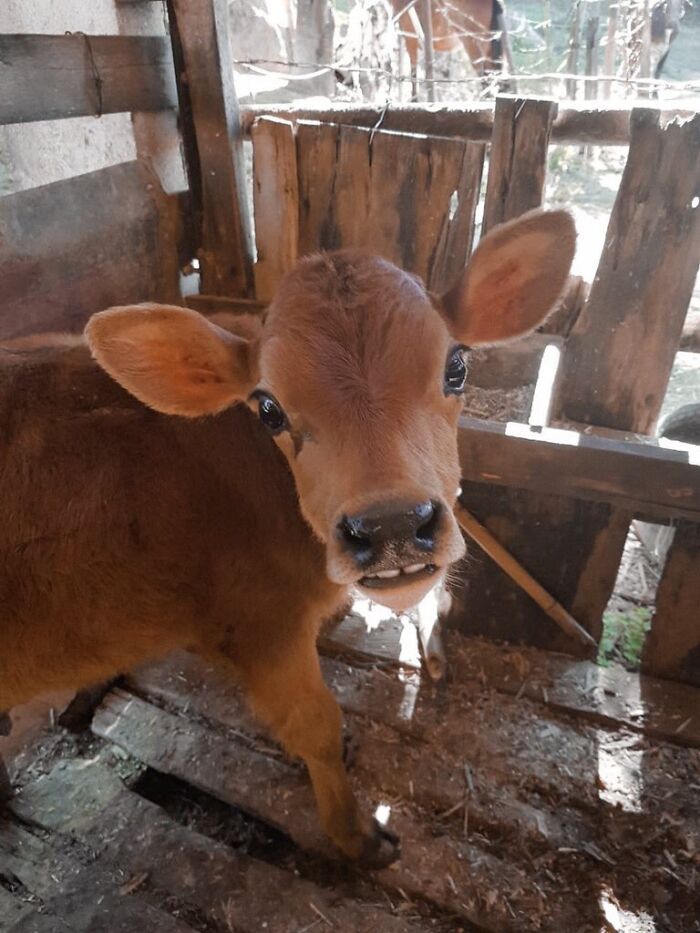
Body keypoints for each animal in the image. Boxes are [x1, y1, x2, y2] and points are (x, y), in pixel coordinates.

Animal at [0, 209, 575, 867]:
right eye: (269, 408)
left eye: (457, 367)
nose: (393, 525)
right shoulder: (259, 622)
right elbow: (317, 726)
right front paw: (355, 834)